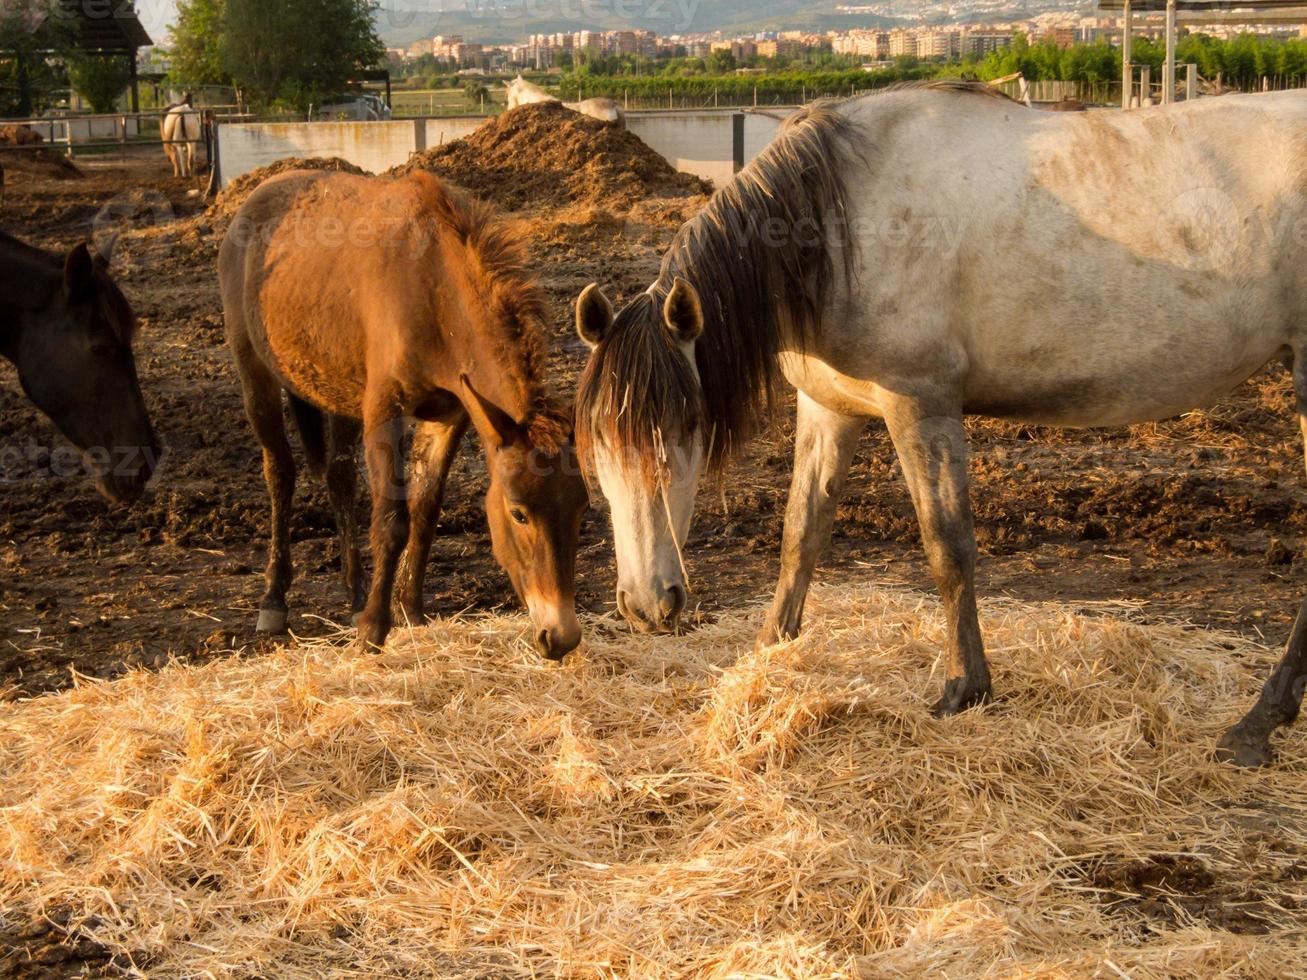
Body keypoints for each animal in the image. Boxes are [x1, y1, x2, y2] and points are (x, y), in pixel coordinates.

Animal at [220, 169, 588, 661]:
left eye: (582, 507)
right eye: (518, 513)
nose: (560, 636)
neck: (432, 288)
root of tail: (255, 196)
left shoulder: (450, 415)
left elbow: (425, 510)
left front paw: (410, 611)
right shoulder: (384, 411)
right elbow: (392, 521)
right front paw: (374, 628)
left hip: (338, 393)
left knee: (339, 477)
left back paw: (354, 593)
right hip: (255, 376)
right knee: (280, 473)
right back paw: (274, 600)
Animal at [577, 84, 1307, 773]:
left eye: (686, 425)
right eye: (597, 447)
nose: (646, 604)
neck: (839, 225)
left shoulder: (921, 406)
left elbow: (946, 548)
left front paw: (964, 689)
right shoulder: (828, 409)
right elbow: (799, 536)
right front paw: (768, 650)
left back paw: (1254, 727)